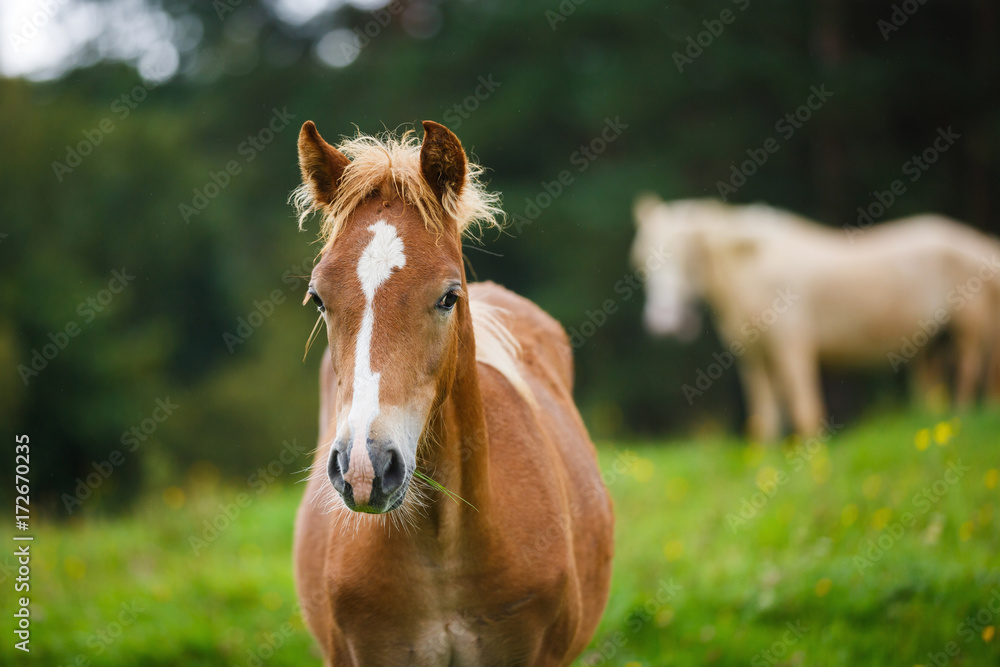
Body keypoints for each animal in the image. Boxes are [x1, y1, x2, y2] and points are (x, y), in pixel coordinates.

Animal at [632, 196, 1000, 440]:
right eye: (641, 261)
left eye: (689, 255)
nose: (663, 323)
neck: (750, 270)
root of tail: (981, 246)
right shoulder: (754, 357)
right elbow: (765, 421)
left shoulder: (792, 348)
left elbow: (806, 410)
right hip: (934, 345)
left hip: (968, 332)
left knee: (968, 377)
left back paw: (961, 421)